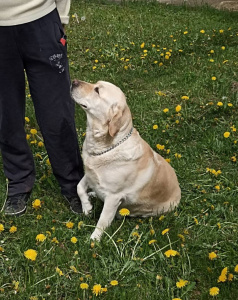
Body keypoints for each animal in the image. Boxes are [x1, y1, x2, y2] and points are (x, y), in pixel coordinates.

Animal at [70, 79, 180, 241]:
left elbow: (102, 220)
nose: (74, 81)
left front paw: (94, 240)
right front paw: (87, 207)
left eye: (97, 90)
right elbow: (79, 187)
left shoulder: (113, 197)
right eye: (95, 83)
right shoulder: (90, 174)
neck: (106, 146)